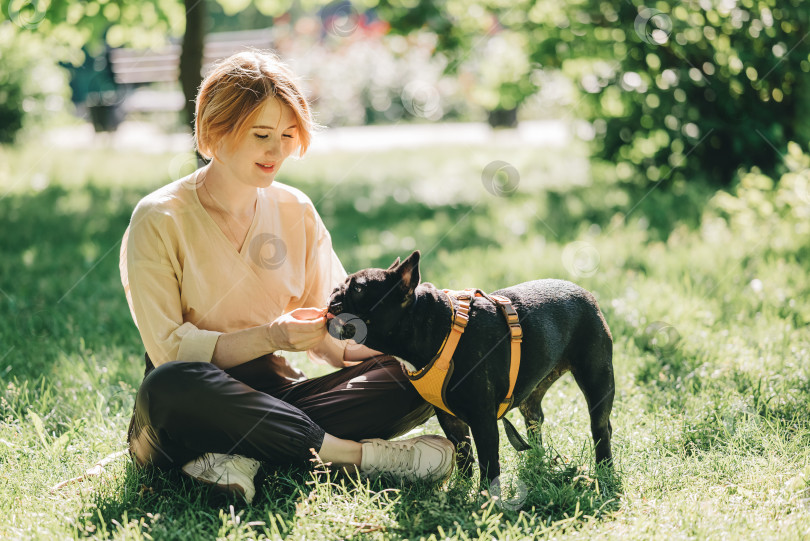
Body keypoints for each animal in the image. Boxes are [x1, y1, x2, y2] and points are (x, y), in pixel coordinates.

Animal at [324, 250, 612, 480]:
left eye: (358, 288)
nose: (334, 290)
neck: (432, 325)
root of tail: (585, 293)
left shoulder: (483, 420)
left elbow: (488, 462)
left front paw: (487, 500)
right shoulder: (450, 419)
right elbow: (464, 454)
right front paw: (460, 490)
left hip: (597, 378)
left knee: (600, 427)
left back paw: (604, 469)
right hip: (534, 392)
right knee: (535, 419)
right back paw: (535, 460)